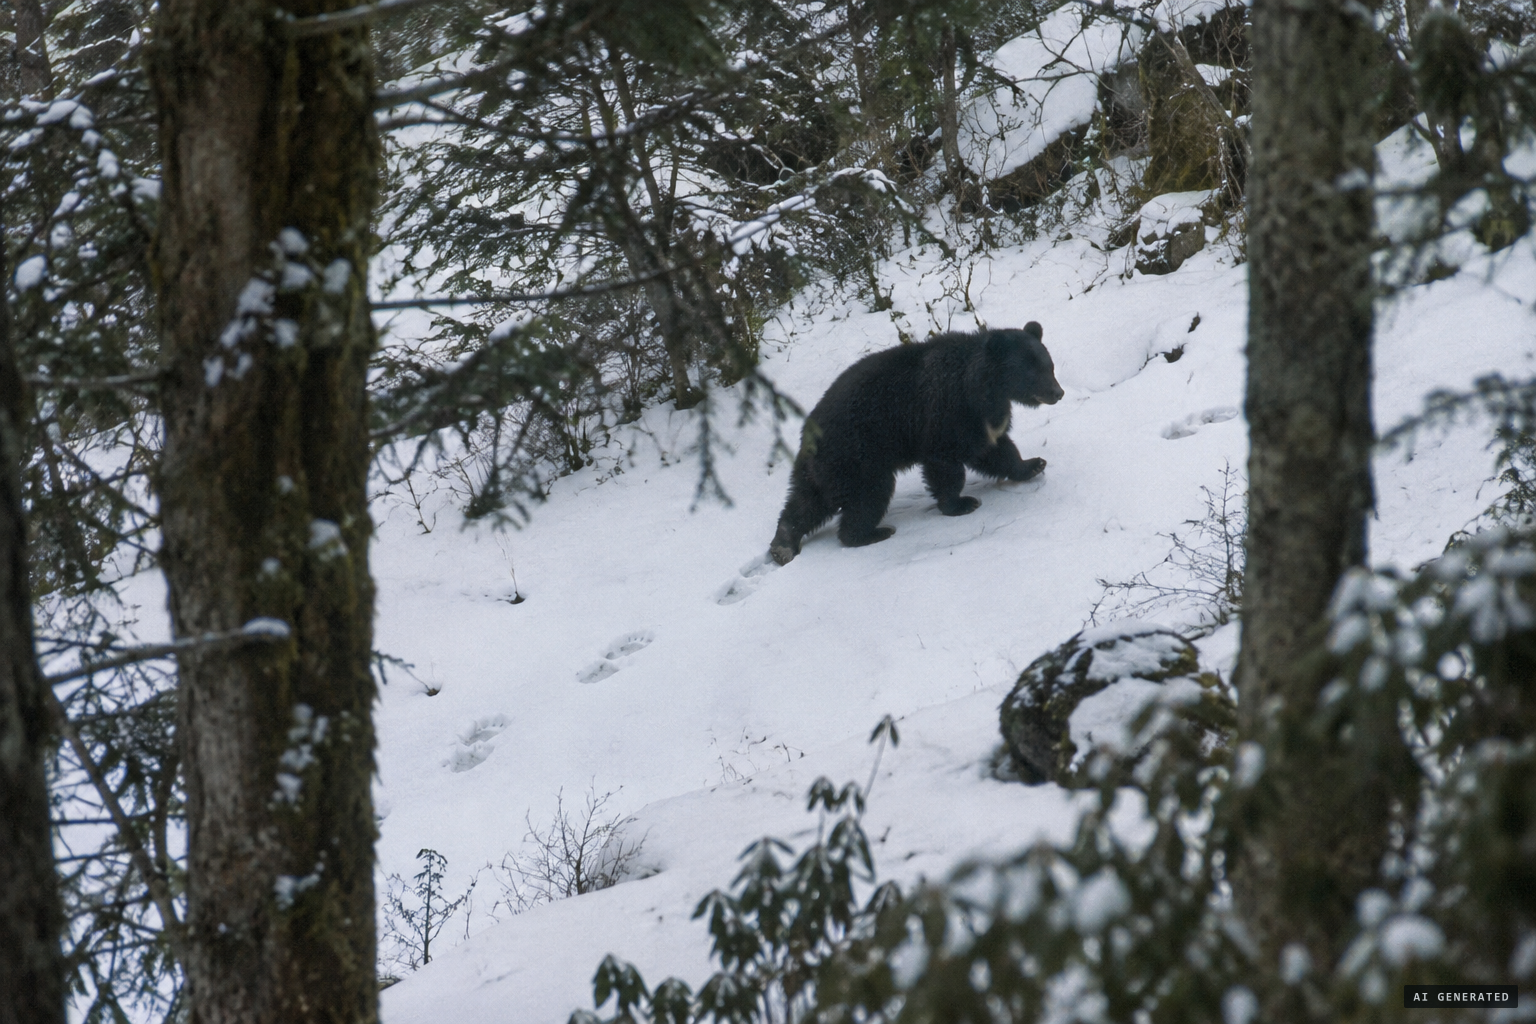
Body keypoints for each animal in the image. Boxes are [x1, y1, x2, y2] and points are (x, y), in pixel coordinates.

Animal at [767, 322, 1064, 565]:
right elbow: (947, 463)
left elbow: (994, 449)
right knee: (869, 495)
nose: (1058, 392)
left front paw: (1033, 464)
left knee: (808, 501)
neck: (983, 387)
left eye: (1049, 366)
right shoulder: (947, 412)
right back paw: (871, 533)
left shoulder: (984, 417)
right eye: (1032, 371)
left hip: (825, 469)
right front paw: (961, 504)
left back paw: (784, 543)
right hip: (858, 456)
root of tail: (808, 434)